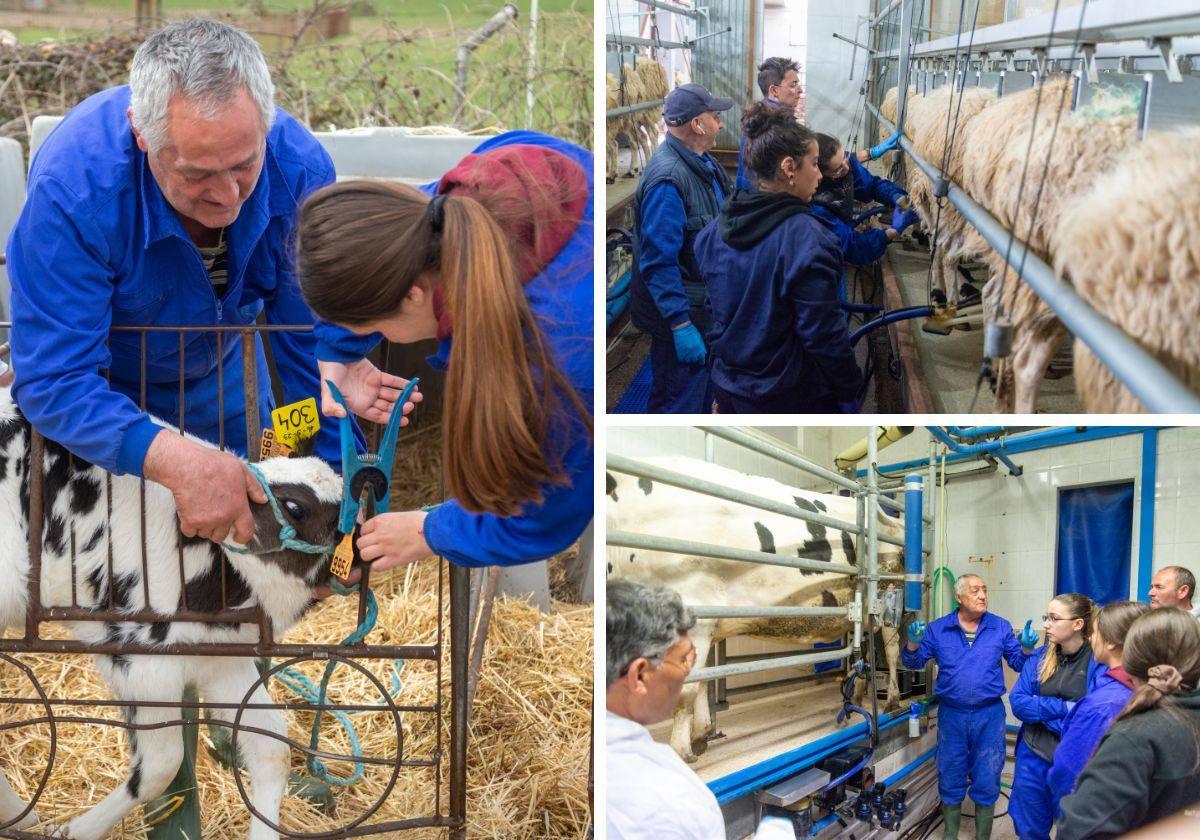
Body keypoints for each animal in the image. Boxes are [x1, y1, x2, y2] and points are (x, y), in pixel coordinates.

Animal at [0, 391, 348, 835]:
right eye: (294, 504)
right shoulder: (139, 655)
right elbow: (161, 765)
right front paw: (77, 830)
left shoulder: (220, 659)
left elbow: (272, 746)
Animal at [604, 456, 902, 763]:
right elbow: (702, 682)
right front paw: (700, 735)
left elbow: (686, 688)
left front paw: (681, 752)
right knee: (866, 648)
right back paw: (856, 697)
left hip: (888, 594)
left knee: (892, 648)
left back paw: (893, 699)